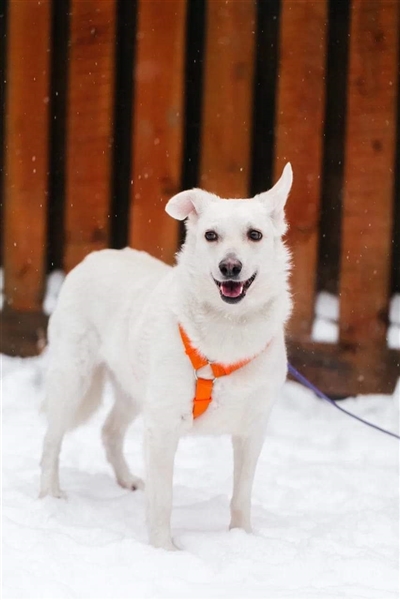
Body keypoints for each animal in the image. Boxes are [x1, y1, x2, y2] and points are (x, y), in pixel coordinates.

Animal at [40, 163, 293, 550]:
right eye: (210, 235)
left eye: (255, 234)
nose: (230, 267)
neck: (227, 328)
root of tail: (96, 255)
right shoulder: (161, 426)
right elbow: (162, 499)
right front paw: (164, 550)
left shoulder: (252, 430)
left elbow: (241, 495)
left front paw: (242, 538)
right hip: (73, 379)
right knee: (51, 441)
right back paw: (48, 495)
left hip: (134, 390)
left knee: (110, 430)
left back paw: (126, 479)